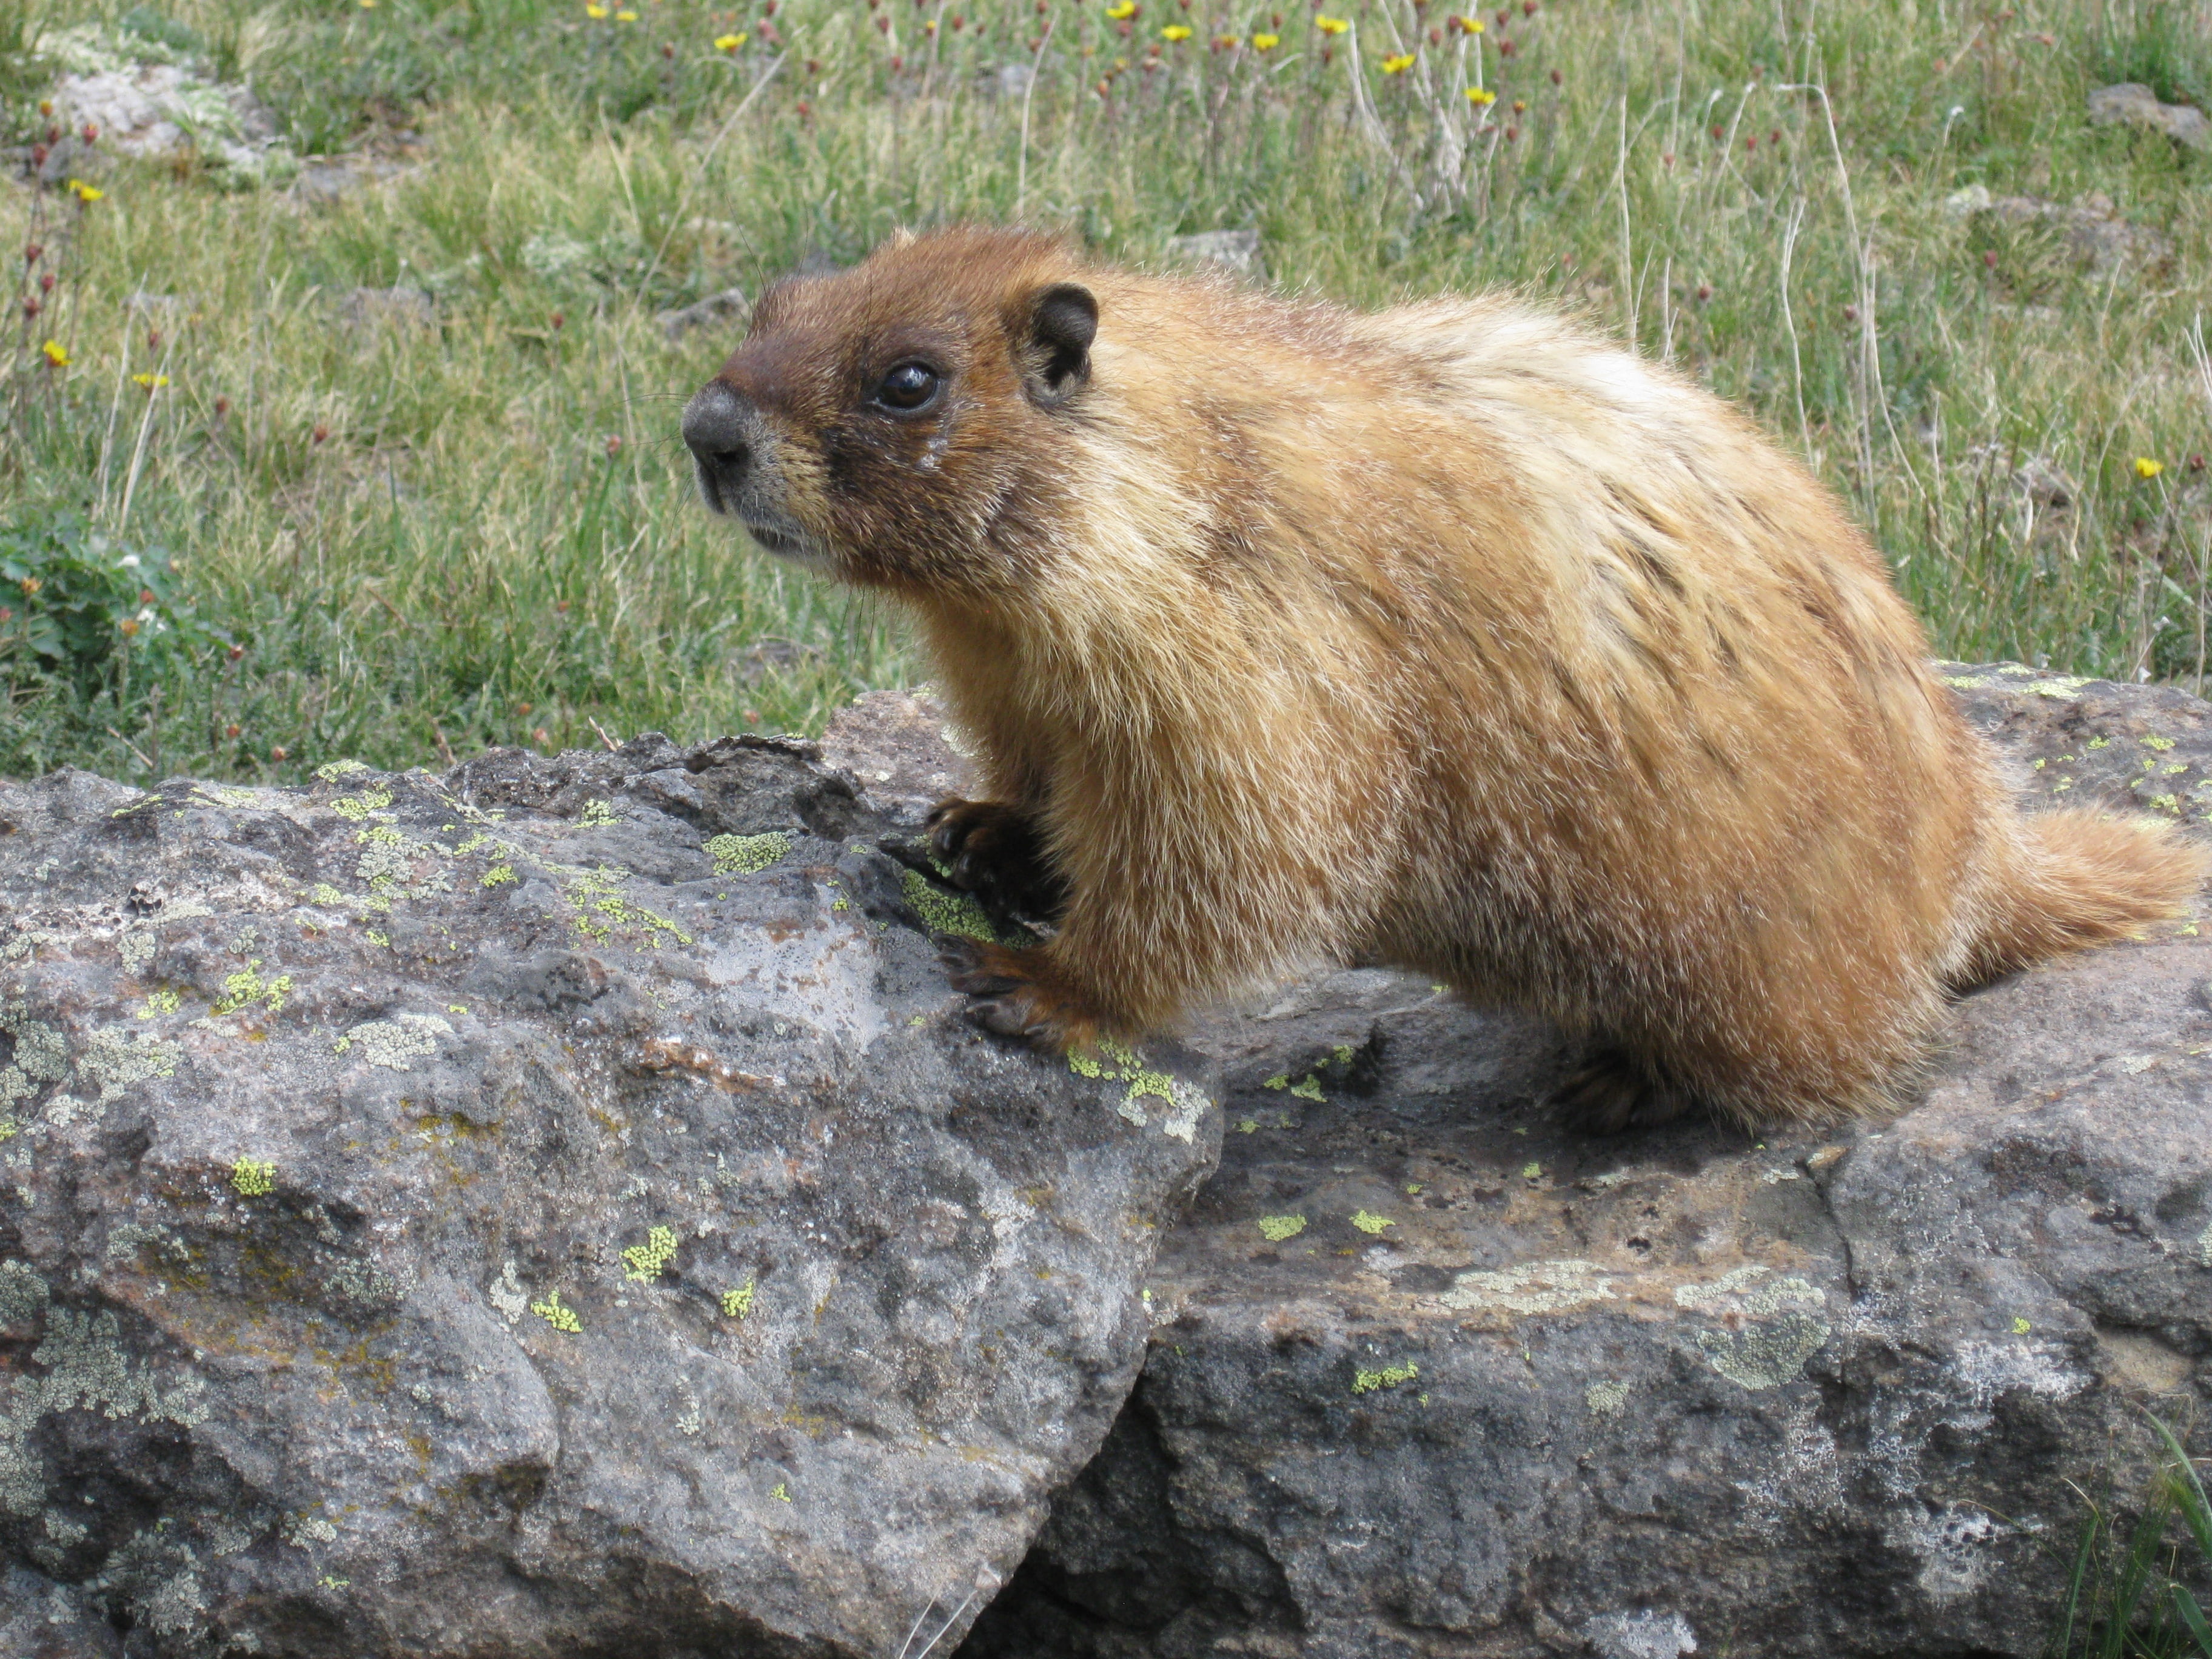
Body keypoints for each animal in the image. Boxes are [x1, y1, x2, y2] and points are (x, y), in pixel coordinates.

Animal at [682, 226, 2208, 1131]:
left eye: (910, 381)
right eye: (779, 301)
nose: (703, 429)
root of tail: (1978, 857)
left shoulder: (1249, 643)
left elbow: (1242, 836)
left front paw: (1052, 982)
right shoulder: (1004, 655)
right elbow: (1037, 752)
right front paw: (982, 822)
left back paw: (1634, 1078)